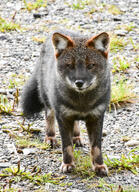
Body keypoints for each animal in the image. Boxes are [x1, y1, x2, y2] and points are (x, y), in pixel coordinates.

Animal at [21, 28, 111, 177]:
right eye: (70, 66)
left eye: (90, 65)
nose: (79, 83)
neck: (82, 104)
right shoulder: (63, 116)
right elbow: (66, 145)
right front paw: (68, 164)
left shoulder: (96, 117)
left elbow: (96, 147)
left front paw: (99, 166)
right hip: (49, 103)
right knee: (49, 118)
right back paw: (50, 138)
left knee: (76, 123)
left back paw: (77, 137)